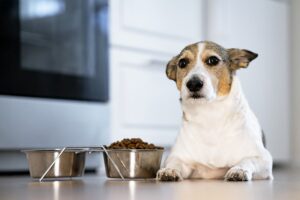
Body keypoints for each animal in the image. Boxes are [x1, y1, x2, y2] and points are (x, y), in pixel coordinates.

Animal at [158, 40, 274, 181]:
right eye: (182, 63)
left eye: (213, 60)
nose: (193, 84)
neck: (210, 114)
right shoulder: (179, 157)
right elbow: (175, 162)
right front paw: (169, 170)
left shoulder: (264, 159)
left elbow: (248, 160)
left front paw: (238, 170)